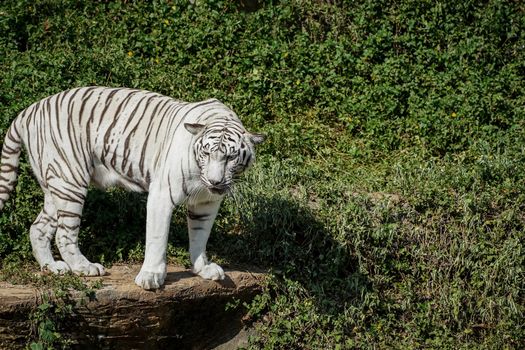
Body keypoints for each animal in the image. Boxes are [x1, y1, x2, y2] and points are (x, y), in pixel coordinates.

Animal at [0, 87, 262, 290]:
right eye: (206, 153)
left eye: (230, 157)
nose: (215, 182)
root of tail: (29, 110)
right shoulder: (161, 194)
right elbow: (157, 238)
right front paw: (151, 277)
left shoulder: (207, 203)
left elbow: (200, 236)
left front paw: (203, 269)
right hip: (70, 180)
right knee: (65, 235)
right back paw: (84, 267)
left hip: (55, 188)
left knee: (38, 228)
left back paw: (53, 267)